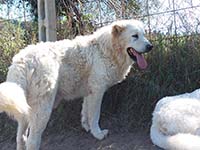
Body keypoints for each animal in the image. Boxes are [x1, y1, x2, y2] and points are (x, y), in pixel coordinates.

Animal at [0, 19, 152, 149]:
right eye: (135, 36)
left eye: (144, 35)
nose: (150, 46)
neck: (106, 49)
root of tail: (22, 61)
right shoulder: (97, 91)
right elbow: (95, 115)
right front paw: (98, 134)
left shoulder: (89, 92)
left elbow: (86, 112)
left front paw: (87, 128)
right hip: (43, 109)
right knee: (32, 141)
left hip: (25, 108)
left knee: (20, 138)